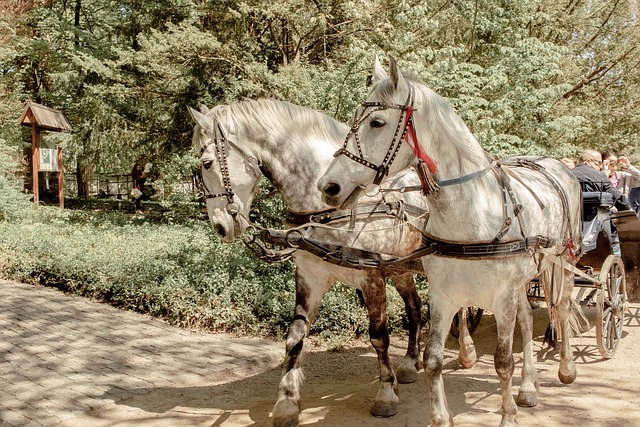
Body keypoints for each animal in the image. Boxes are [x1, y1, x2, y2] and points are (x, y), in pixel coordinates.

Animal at [318, 57, 584, 427]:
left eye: (377, 122)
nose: (328, 186)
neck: (471, 213)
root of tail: (556, 165)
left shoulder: (501, 296)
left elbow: (503, 362)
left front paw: (507, 417)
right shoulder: (444, 294)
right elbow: (432, 361)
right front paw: (441, 417)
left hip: (563, 263)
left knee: (561, 309)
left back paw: (566, 369)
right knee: (529, 321)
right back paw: (528, 388)